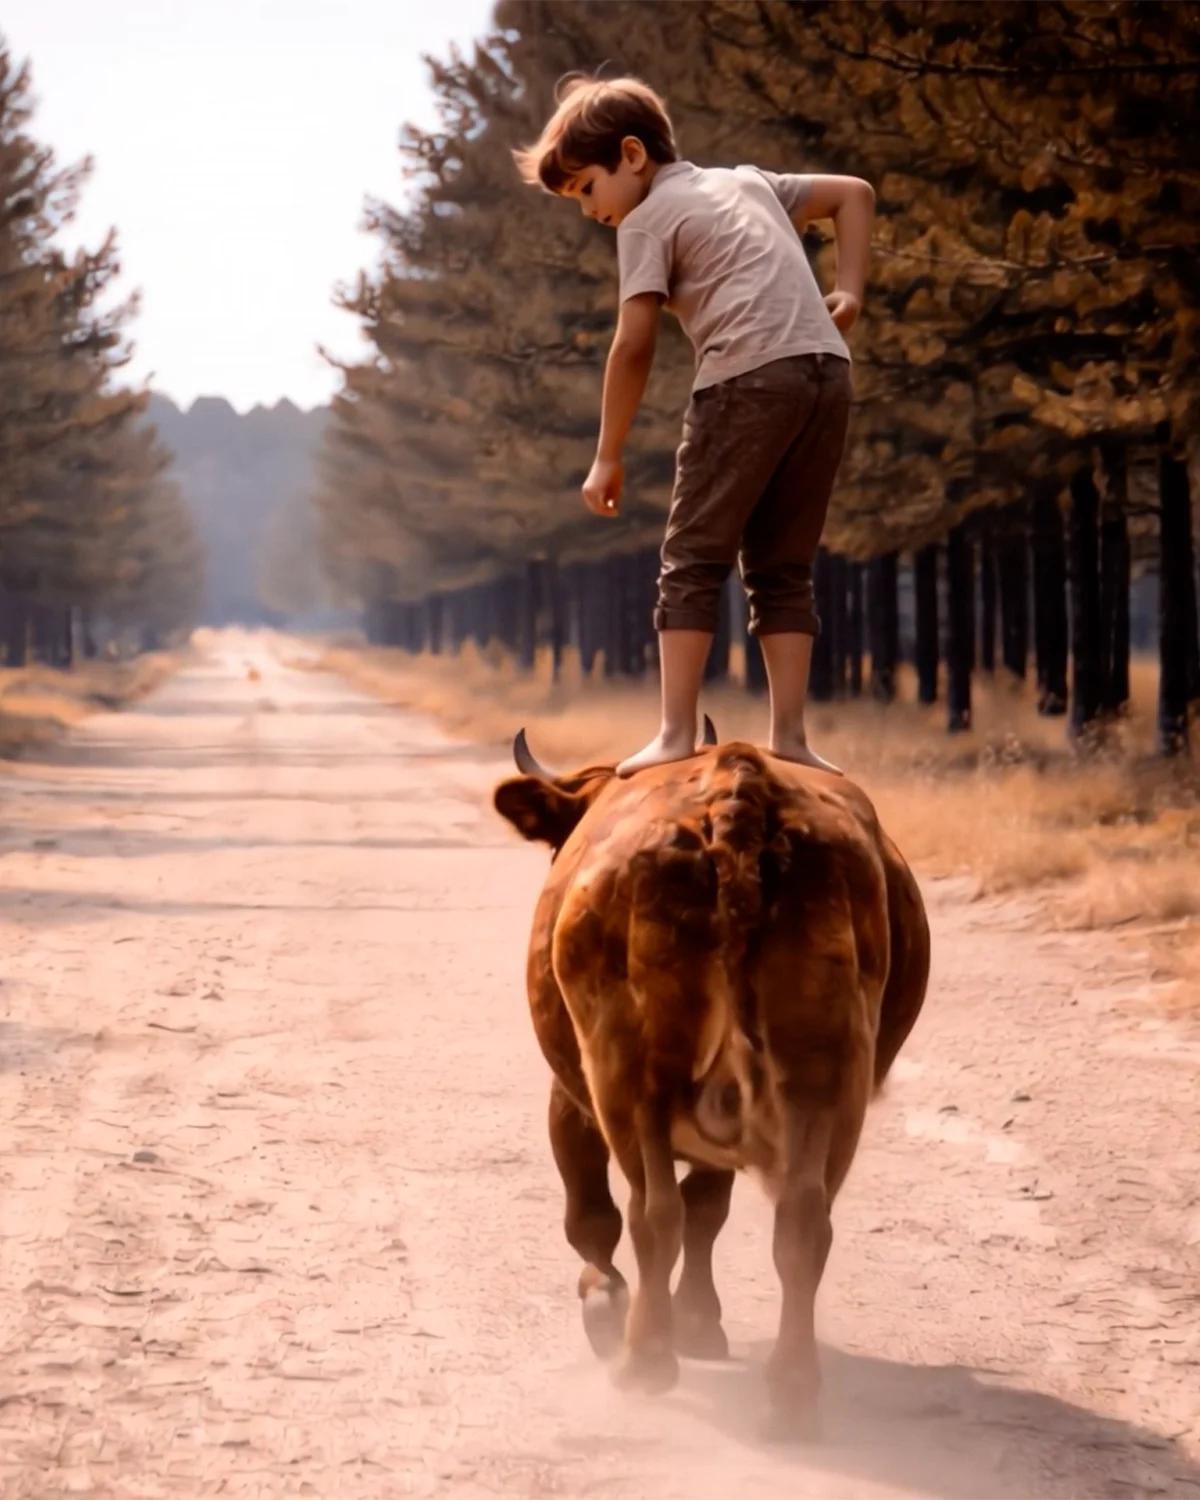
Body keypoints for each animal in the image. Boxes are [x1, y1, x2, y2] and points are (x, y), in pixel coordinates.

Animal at [492, 726, 930, 1442]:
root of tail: (738, 786)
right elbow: (709, 1210)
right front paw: (700, 1320)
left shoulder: (570, 1101)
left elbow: (596, 1214)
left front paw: (606, 1302)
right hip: (826, 1083)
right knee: (802, 1224)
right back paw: (790, 1392)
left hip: (627, 1075)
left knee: (651, 1213)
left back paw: (643, 1361)